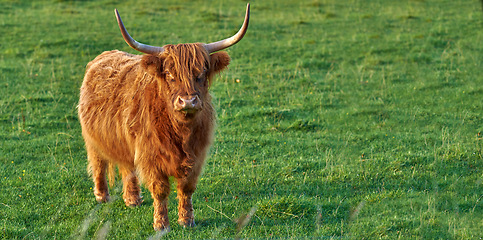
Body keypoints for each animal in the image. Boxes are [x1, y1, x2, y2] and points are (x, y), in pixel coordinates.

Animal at [78, 3, 251, 232]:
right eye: (169, 75)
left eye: (202, 73)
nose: (188, 101)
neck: (181, 132)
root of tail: (104, 56)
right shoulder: (151, 156)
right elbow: (160, 190)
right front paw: (161, 224)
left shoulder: (196, 156)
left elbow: (186, 188)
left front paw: (187, 221)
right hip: (93, 139)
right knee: (98, 164)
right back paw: (102, 196)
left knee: (127, 167)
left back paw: (133, 199)